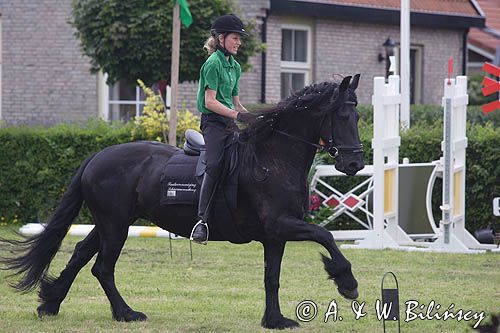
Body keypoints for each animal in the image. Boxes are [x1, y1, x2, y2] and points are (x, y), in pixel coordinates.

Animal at [1, 74, 366, 326]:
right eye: (343, 117)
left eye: (358, 117)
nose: (354, 164)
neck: (272, 157)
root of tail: (97, 156)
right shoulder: (282, 225)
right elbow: (326, 235)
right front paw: (346, 282)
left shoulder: (275, 235)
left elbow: (271, 277)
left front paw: (274, 320)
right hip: (115, 225)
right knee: (102, 267)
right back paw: (126, 313)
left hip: (110, 222)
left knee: (79, 255)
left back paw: (50, 303)